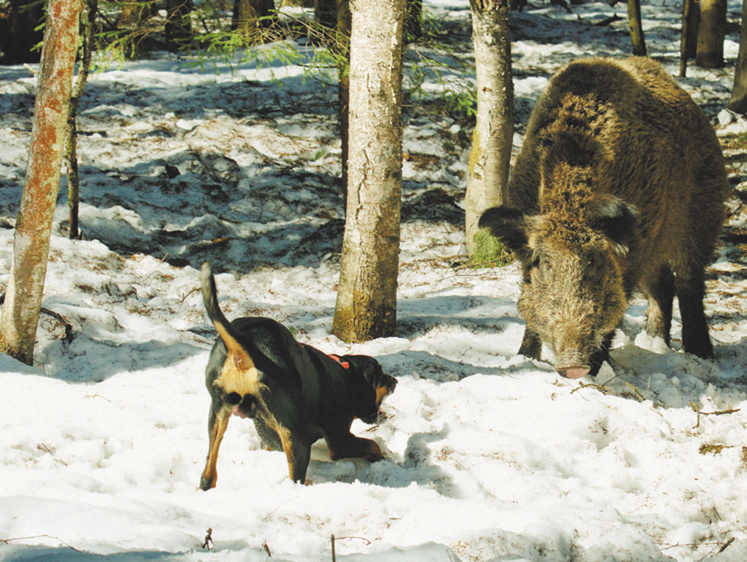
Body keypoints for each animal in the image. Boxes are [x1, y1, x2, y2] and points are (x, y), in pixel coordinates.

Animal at [199, 262, 398, 486]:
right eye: (380, 373)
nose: (395, 381)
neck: (345, 374)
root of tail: (244, 344)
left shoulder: (269, 437)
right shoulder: (339, 440)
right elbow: (372, 444)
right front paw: (381, 457)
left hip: (217, 416)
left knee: (207, 473)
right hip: (295, 435)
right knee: (296, 478)